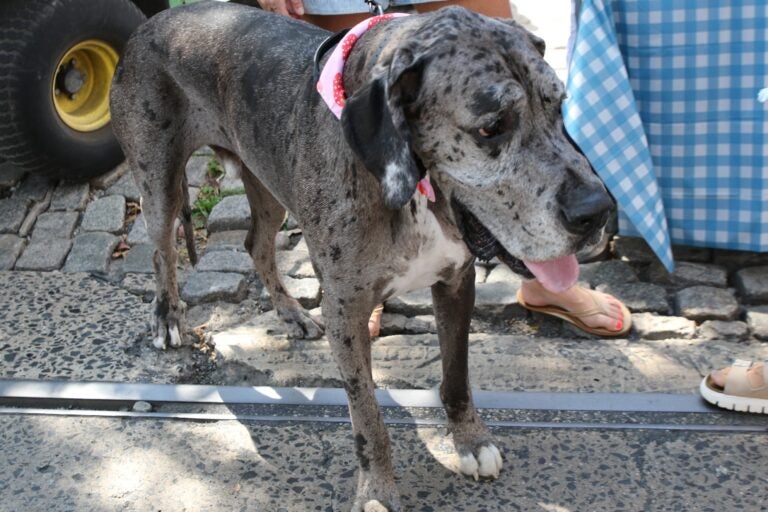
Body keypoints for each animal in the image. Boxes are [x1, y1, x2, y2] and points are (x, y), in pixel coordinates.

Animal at [109, 3, 612, 508]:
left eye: (559, 107)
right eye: (492, 127)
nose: (598, 210)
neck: (410, 184)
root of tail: (149, 24)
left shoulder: (455, 281)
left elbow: (456, 375)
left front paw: (470, 441)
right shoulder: (345, 311)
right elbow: (367, 416)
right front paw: (377, 491)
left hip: (266, 183)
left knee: (256, 244)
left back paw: (291, 314)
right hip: (159, 186)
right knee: (162, 252)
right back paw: (169, 317)